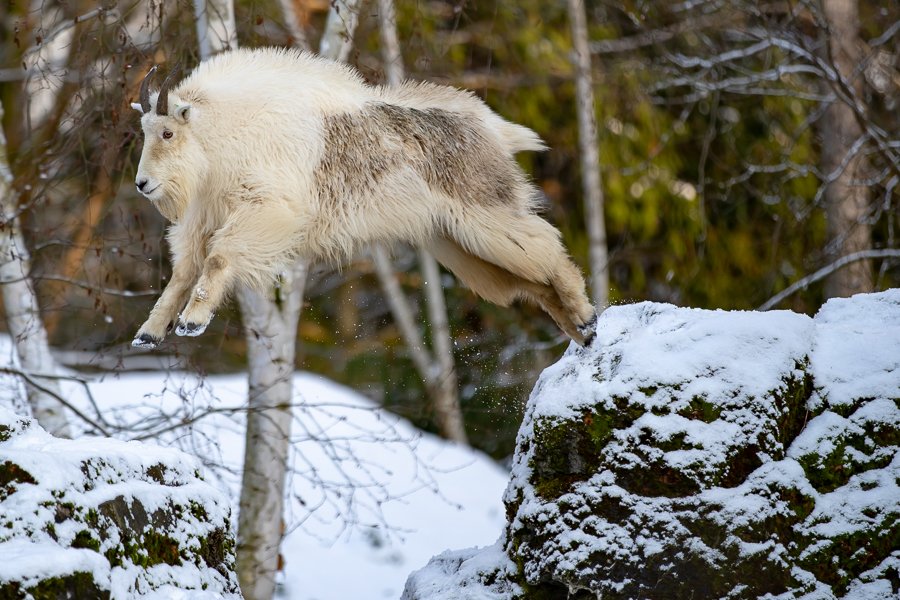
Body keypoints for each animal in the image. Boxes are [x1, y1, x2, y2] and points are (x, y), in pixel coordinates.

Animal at [131, 47, 597, 348]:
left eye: (167, 132)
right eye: (144, 132)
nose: (142, 184)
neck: (221, 136)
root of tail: (496, 132)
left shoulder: (268, 212)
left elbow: (219, 258)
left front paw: (192, 321)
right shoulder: (201, 219)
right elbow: (183, 273)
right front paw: (150, 332)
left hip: (484, 215)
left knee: (547, 249)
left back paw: (587, 316)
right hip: (455, 242)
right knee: (529, 282)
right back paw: (582, 331)